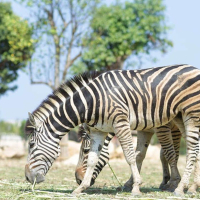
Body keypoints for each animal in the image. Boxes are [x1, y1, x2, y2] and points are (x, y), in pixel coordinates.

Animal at [25, 65, 200, 196]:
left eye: (31, 145)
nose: (27, 177)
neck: (92, 101)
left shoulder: (123, 123)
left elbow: (132, 156)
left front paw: (137, 187)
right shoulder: (99, 131)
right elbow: (95, 160)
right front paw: (80, 188)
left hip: (191, 115)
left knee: (191, 150)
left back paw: (180, 188)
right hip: (181, 118)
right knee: (196, 150)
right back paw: (191, 187)